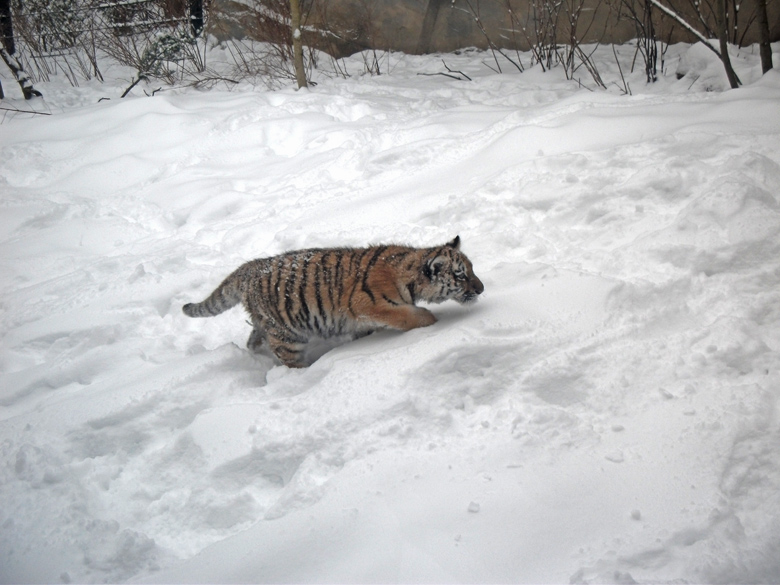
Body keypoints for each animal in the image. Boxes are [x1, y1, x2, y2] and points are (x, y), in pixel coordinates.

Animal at [184, 236, 484, 364]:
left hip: (264, 323)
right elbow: (411, 315)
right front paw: (434, 324)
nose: (481, 289)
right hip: (287, 336)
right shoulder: (369, 305)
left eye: (472, 269)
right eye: (461, 275)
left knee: (253, 341)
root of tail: (250, 267)